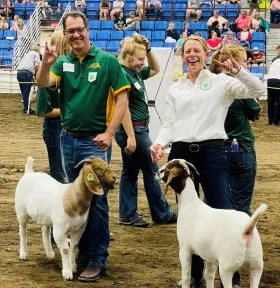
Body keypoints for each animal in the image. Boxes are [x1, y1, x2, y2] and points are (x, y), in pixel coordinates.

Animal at [159, 159, 268, 288]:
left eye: (165, 170)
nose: (157, 172)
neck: (189, 203)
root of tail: (246, 230)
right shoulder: (210, 258)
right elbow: (209, 276)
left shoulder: (185, 249)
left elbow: (186, 276)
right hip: (256, 266)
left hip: (227, 268)